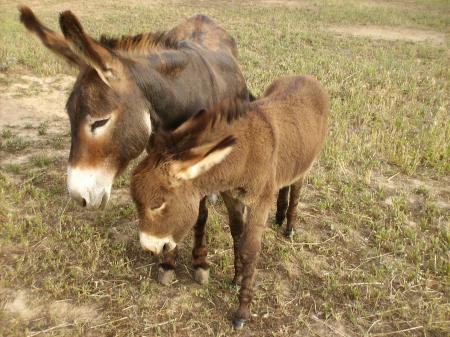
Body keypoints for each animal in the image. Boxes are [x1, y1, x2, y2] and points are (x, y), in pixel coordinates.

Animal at [132, 75, 328, 326]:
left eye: (157, 205)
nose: (149, 248)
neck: (245, 151)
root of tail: (307, 77)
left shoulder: (260, 202)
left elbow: (250, 248)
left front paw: (242, 310)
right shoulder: (231, 197)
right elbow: (237, 235)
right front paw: (236, 277)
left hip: (306, 163)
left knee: (296, 187)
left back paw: (290, 225)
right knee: (285, 183)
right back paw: (280, 214)